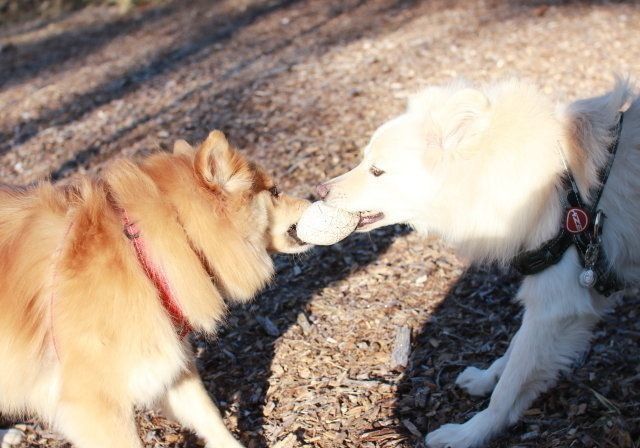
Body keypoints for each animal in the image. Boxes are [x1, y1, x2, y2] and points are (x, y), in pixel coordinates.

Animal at [0, 130, 311, 448]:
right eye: (274, 191)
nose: (314, 200)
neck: (140, 252)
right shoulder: (95, 405)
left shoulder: (166, 363)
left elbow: (209, 417)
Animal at [317, 78, 640, 447]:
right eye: (364, 160)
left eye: (377, 171)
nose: (320, 190)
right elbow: (514, 349)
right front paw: (487, 377)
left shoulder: (557, 304)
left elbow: (511, 385)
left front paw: (471, 432)